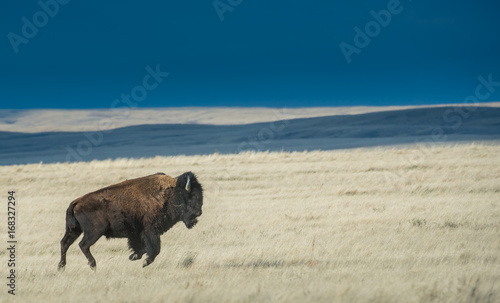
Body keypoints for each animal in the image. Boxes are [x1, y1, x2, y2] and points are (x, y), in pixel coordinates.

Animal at [59, 171, 204, 270]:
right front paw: (144, 262)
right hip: (93, 232)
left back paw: (61, 267)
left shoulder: (138, 234)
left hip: (74, 230)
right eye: (192, 195)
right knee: (83, 245)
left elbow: (141, 248)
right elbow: (154, 249)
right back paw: (93, 265)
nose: (199, 212)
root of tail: (76, 202)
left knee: (65, 243)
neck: (170, 194)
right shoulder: (150, 231)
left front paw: (133, 256)